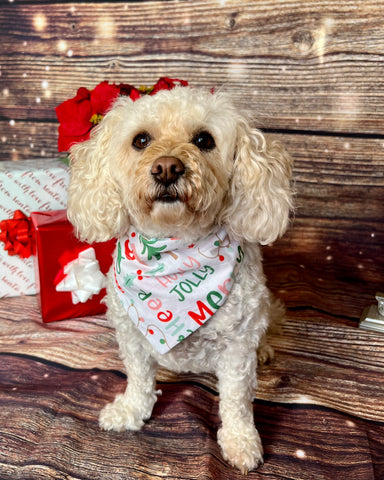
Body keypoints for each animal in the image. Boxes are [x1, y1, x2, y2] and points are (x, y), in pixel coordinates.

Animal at [67, 85, 292, 472]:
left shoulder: (236, 348)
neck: (174, 248)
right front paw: (131, 411)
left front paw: (241, 441)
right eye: (141, 140)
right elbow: (139, 379)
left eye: (204, 140)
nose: (167, 168)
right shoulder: (132, 336)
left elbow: (236, 400)